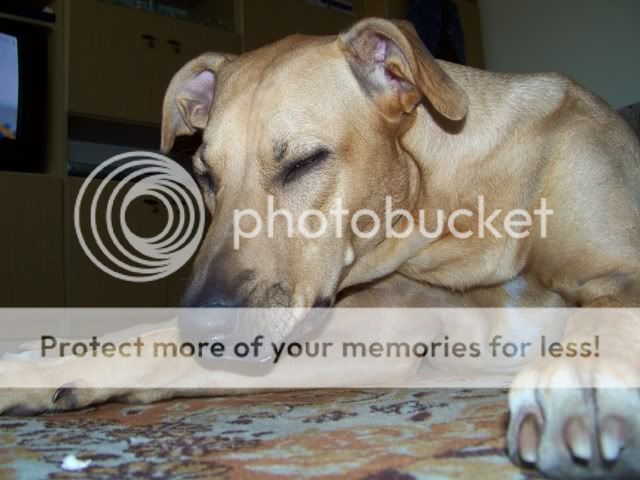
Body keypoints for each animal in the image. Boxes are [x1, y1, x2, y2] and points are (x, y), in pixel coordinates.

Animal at [1, 18, 639, 479]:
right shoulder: (386, 331)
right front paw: (36, 366)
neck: (448, 207)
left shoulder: (617, 274)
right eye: (205, 176)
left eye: (305, 162)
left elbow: (604, 324)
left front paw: (584, 387)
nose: (206, 328)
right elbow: (144, 341)